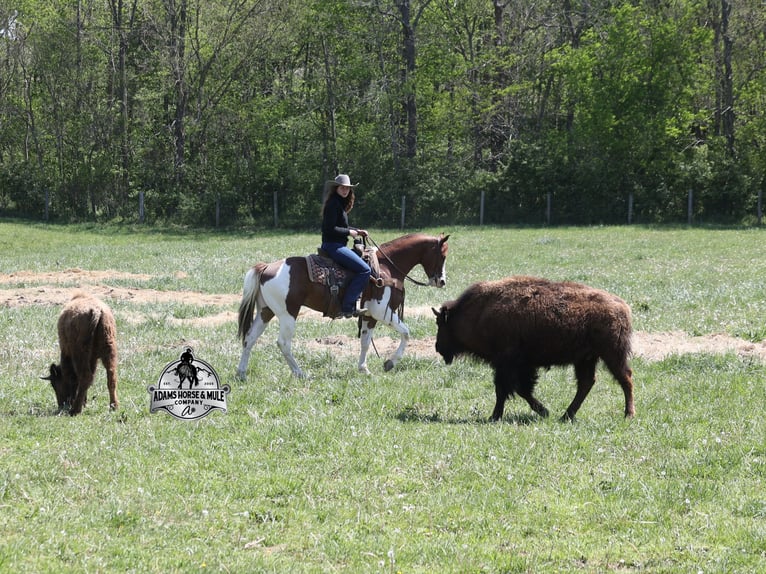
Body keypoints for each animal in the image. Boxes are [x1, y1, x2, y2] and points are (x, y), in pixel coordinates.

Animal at [236, 232, 450, 379]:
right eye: (443, 255)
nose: (442, 281)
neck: (387, 267)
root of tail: (266, 268)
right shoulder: (382, 311)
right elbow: (406, 333)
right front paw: (390, 363)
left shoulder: (369, 315)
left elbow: (365, 342)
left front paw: (364, 369)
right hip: (288, 314)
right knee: (283, 343)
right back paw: (300, 373)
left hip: (266, 312)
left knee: (250, 338)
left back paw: (241, 373)